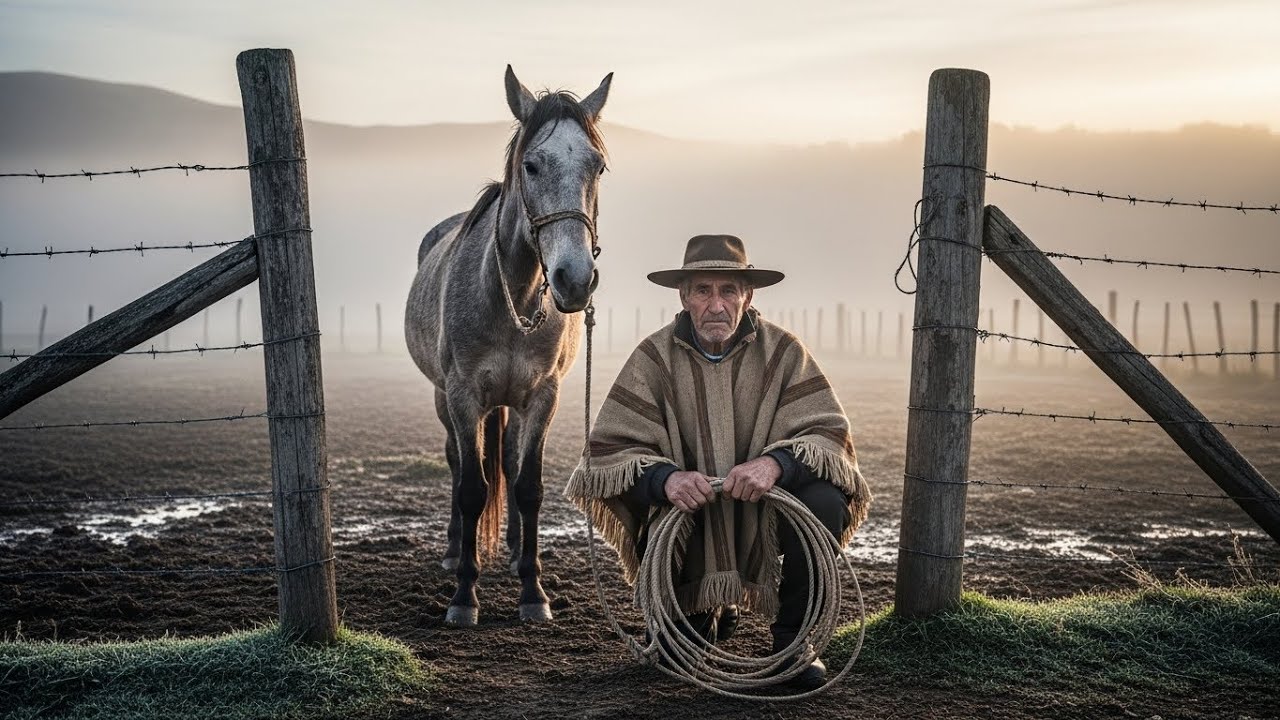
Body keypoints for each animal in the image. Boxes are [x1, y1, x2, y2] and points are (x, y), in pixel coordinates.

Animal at [405, 66, 611, 626]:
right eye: (531, 165)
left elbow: (528, 485)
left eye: (598, 166)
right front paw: (464, 595)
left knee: (514, 465)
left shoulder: (543, 397)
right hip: (444, 399)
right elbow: (472, 488)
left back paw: (518, 547)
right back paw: (455, 550)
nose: (574, 279)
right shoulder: (463, 397)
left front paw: (533, 591)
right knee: (458, 463)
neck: (510, 298)